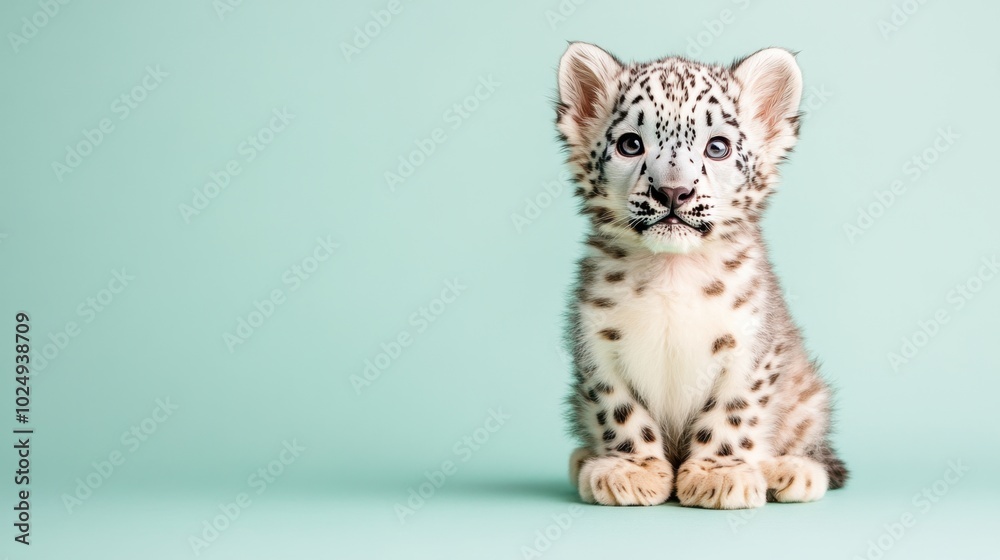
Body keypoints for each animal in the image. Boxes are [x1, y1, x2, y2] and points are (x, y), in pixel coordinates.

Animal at [555, 43, 848, 509]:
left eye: (718, 147)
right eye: (630, 144)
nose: (673, 191)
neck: (672, 271)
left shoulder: (751, 345)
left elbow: (733, 411)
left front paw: (719, 473)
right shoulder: (596, 343)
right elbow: (620, 410)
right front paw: (633, 468)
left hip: (809, 396)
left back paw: (791, 470)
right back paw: (584, 459)